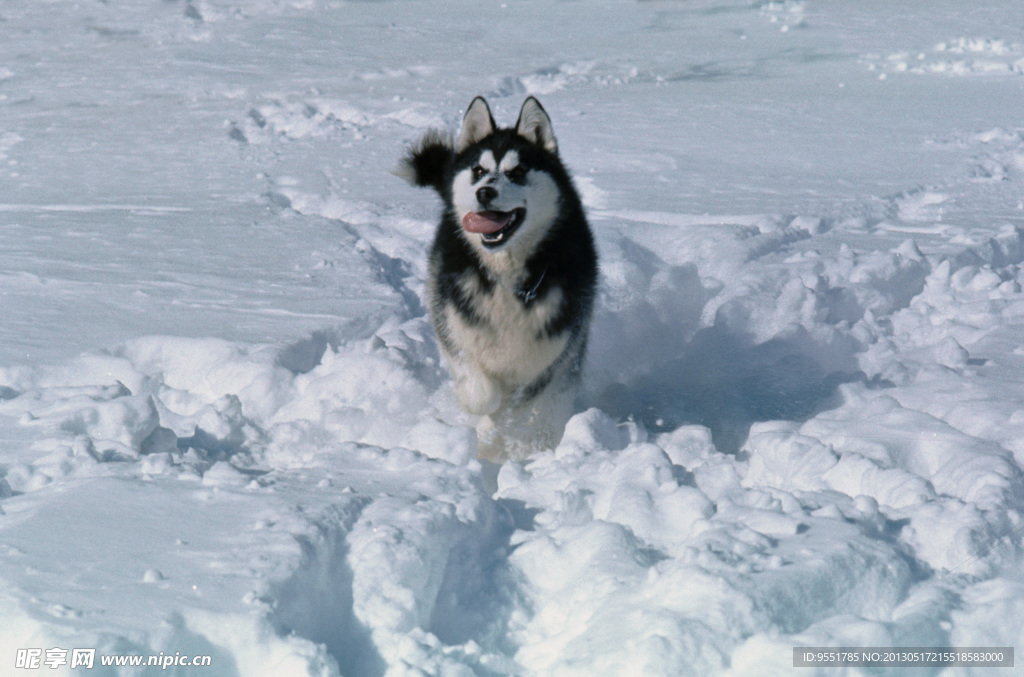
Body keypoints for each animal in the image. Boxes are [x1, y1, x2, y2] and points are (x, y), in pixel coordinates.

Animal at [395, 97, 598, 462]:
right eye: (478, 170)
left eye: (517, 172)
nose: (485, 192)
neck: (506, 277)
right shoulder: (454, 326)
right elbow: (482, 395)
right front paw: (486, 423)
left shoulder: (554, 352)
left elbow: (525, 406)